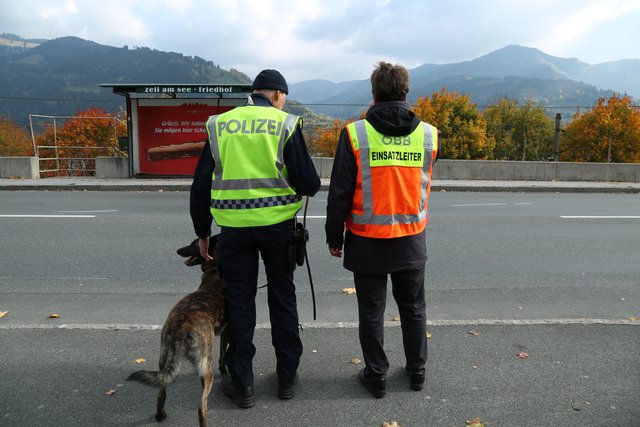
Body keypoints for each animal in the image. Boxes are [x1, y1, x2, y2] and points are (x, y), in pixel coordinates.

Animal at [127, 236, 228, 426]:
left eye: (193, 244)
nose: (178, 250)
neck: (215, 270)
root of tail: (181, 326)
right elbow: (225, 355)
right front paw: (225, 369)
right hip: (206, 368)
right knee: (201, 406)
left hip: (164, 360)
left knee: (161, 391)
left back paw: (160, 415)